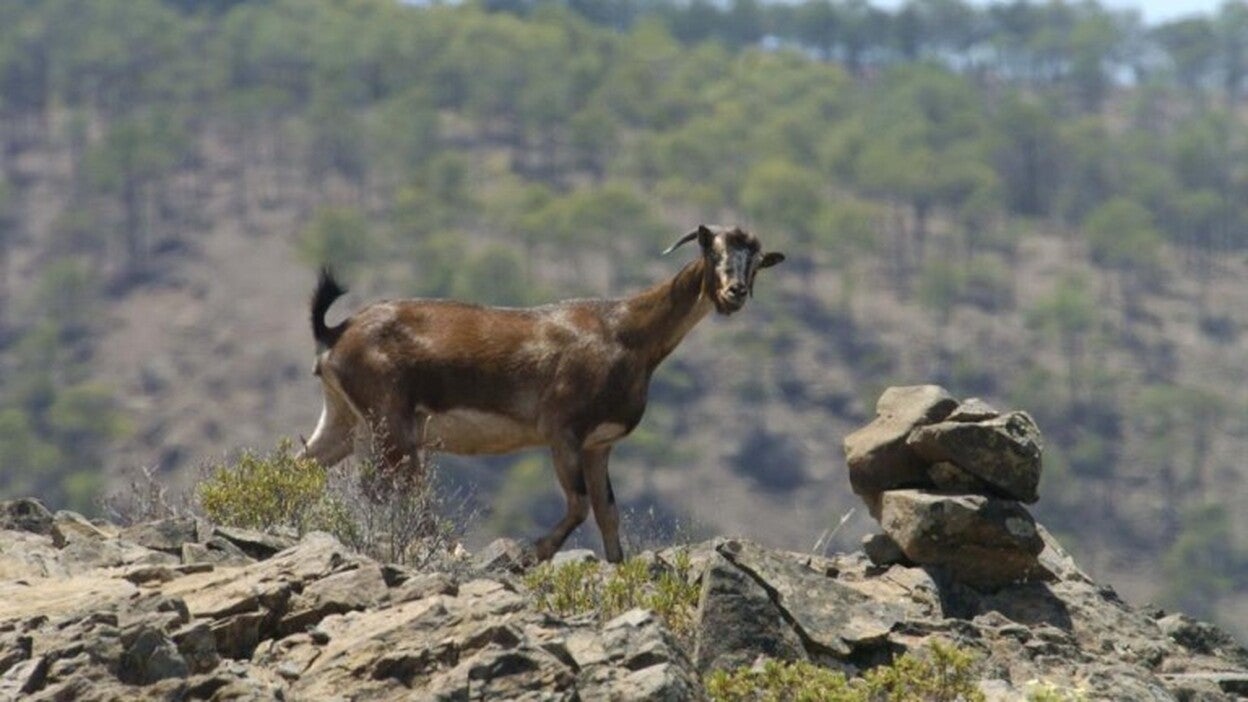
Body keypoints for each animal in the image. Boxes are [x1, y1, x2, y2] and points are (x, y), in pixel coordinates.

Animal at [298, 224, 785, 562]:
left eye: (756, 261)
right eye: (713, 251)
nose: (735, 292)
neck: (626, 333)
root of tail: (335, 333)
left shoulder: (598, 444)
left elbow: (608, 513)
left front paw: (618, 566)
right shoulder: (562, 430)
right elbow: (580, 505)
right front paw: (533, 553)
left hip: (347, 421)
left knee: (307, 466)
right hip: (392, 423)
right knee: (399, 492)